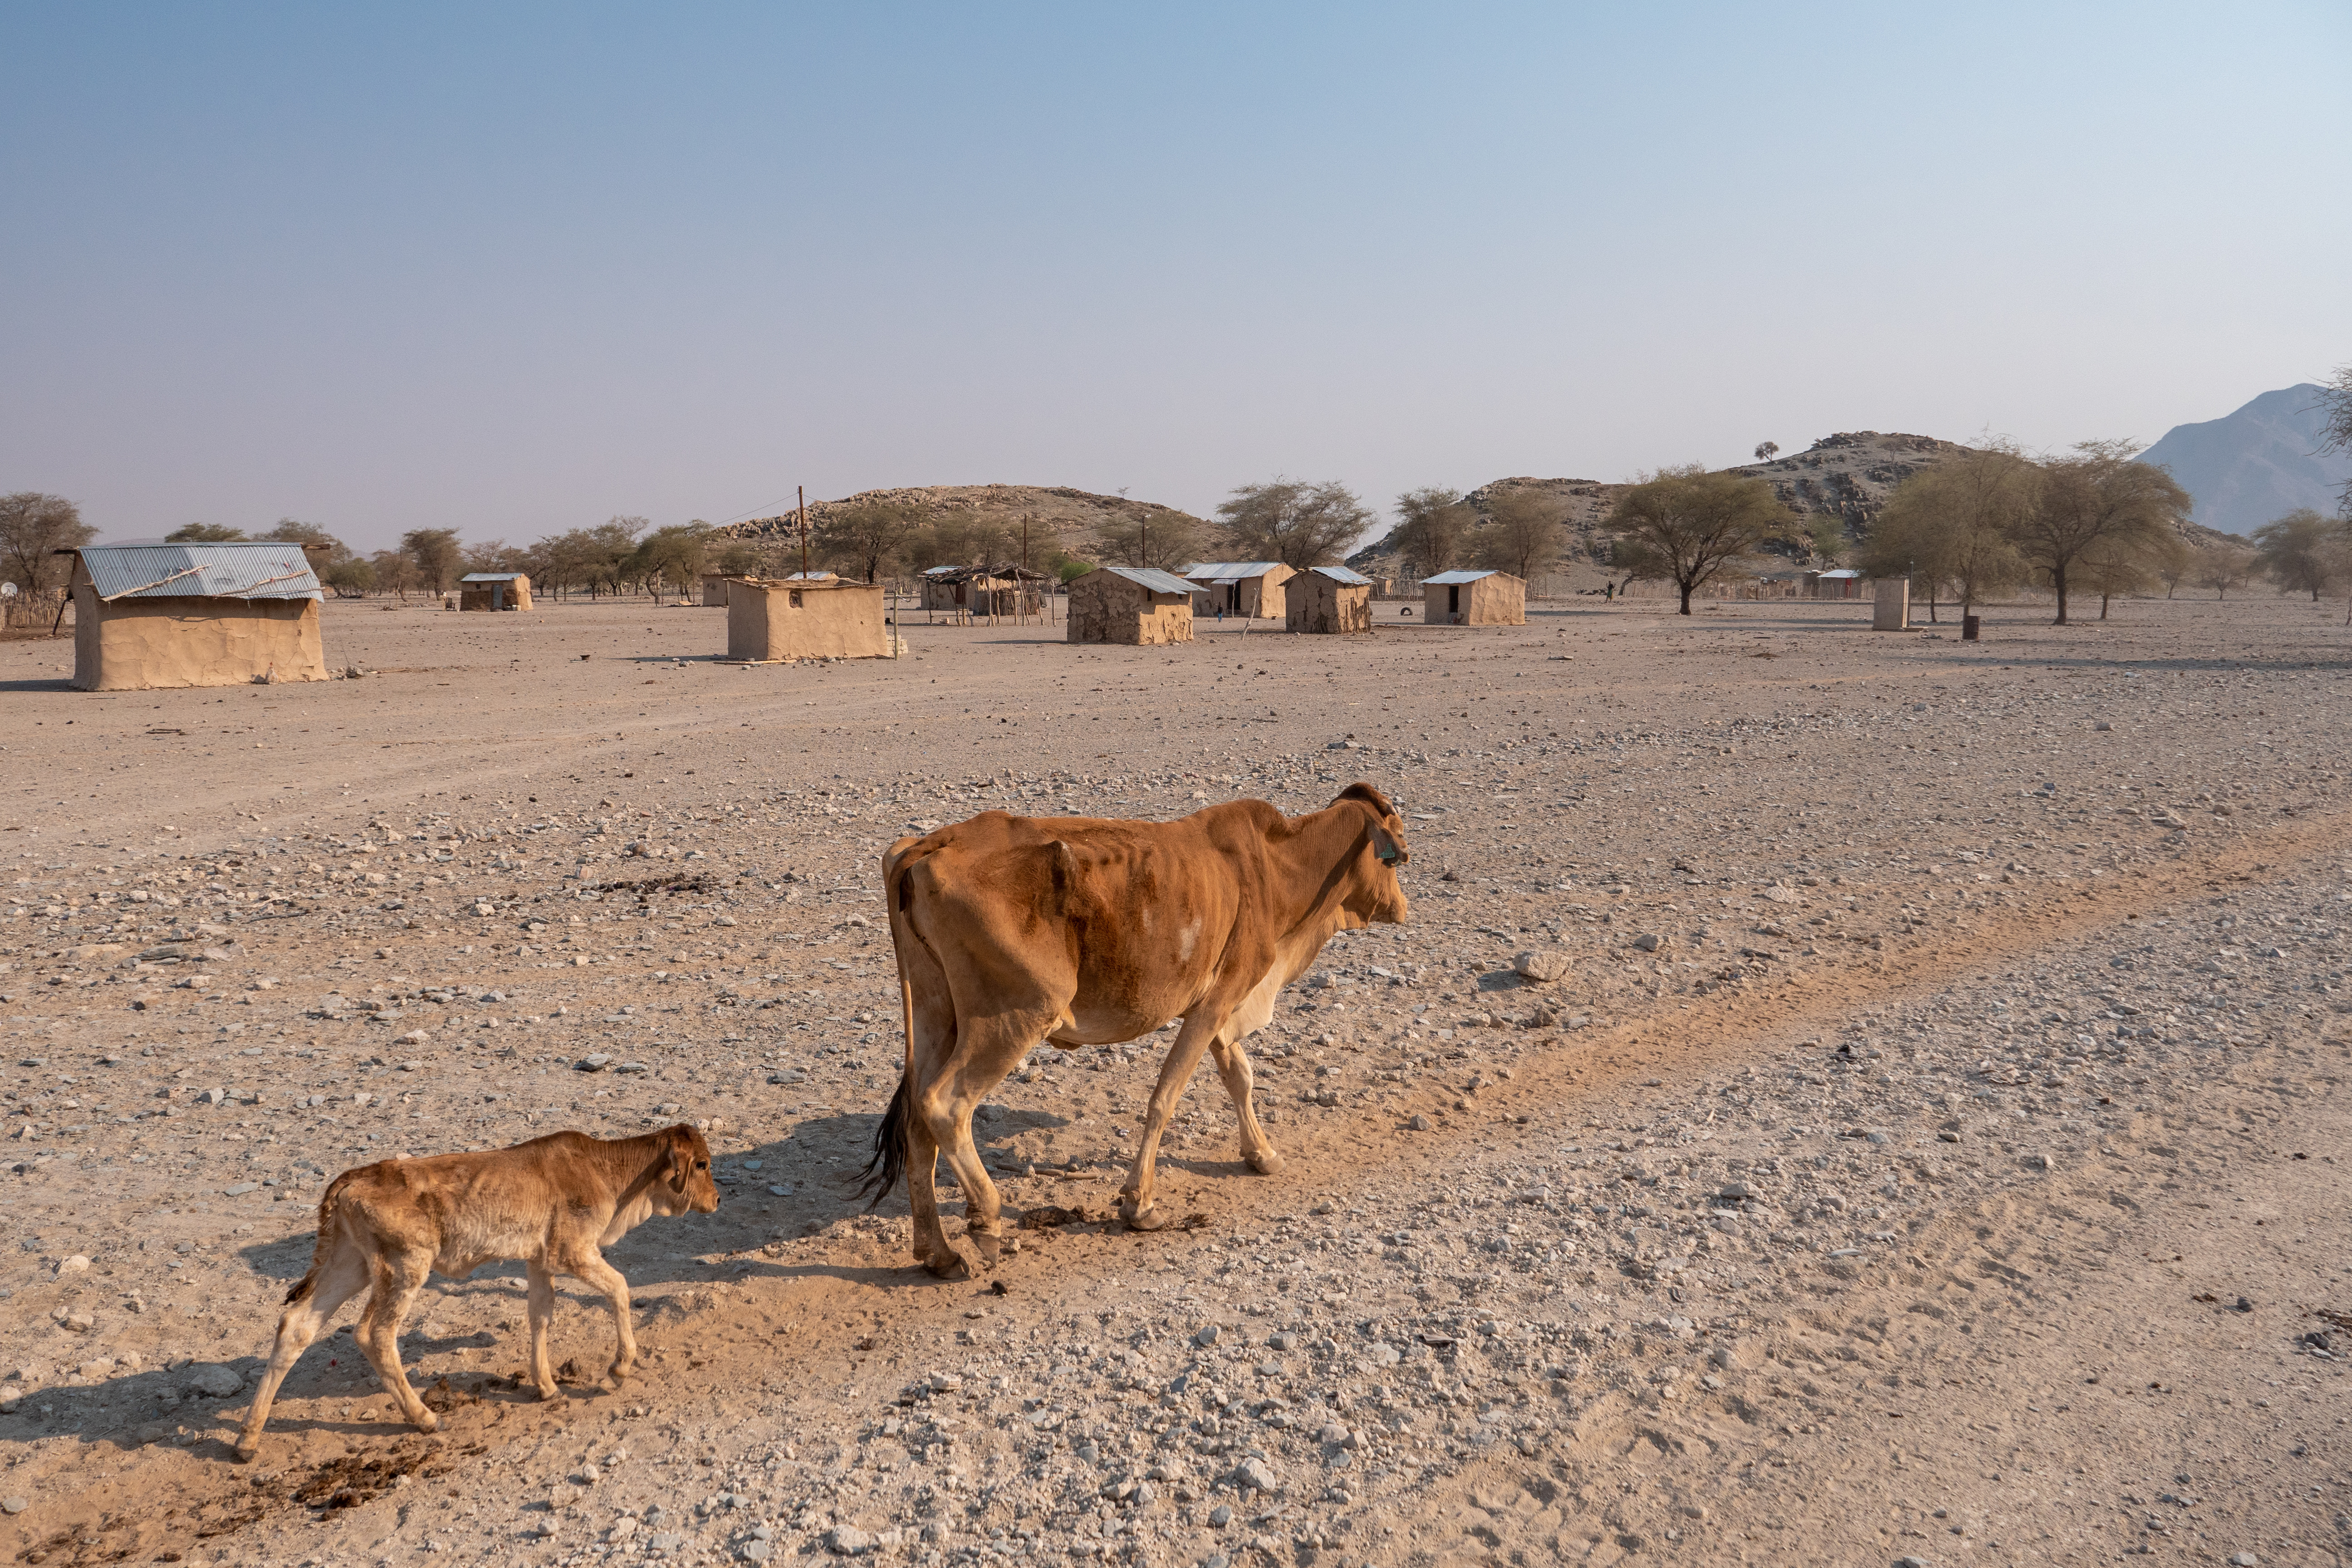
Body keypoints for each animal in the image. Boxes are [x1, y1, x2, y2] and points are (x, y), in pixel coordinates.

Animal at [237, 1123, 720, 1467]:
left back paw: (247, 1438)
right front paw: (619, 1368)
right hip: (404, 1268)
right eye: (701, 1164)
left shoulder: (540, 1261)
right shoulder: (574, 1252)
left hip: (348, 1265)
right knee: (374, 1334)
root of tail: (354, 1177)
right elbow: (620, 1288)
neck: (608, 1173)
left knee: (296, 1326)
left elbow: (541, 1315)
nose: (717, 1200)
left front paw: (547, 1386)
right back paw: (425, 1418)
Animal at [870, 780, 1401, 1279]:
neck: (1276, 865)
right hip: (1015, 1017)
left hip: (936, 1014)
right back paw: (987, 1219)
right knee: (945, 1105)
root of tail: (929, 844)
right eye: (1397, 857)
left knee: (917, 1122)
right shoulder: (1216, 1003)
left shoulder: (1217, 1008)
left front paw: (1262, 1154)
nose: (1402, 907)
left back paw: (937, 1252)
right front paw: (1139, 1204)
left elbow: (1240, 1078)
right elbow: (1166, 1098)